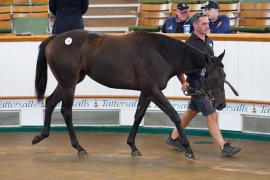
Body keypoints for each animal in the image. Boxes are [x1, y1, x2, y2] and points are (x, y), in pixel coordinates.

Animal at [32, 29, 233, 160]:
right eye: (214, 77)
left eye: (224, 76)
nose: (221, 104)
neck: (160, 54)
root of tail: (55, 38)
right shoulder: (154, 90)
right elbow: (174, 115)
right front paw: (188, 149)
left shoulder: (147, 91)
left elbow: (138, 115)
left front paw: (133, 147)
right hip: (69, 83)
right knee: (66, 111)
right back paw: (79, 148)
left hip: (69, 82)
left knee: (50, 102)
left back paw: (41, 136)